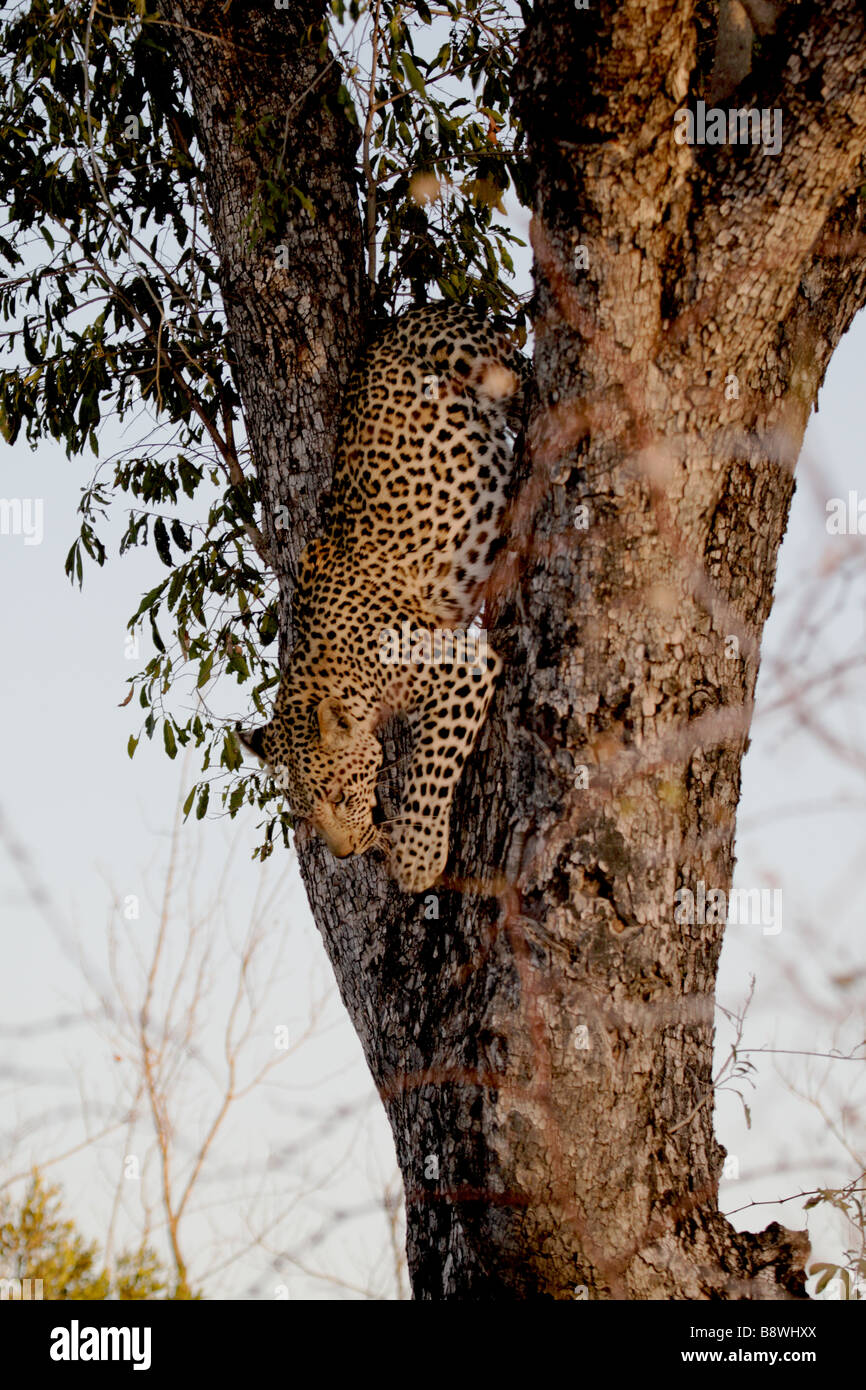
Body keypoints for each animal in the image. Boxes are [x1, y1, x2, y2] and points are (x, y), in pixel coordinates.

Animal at [238, 302, 527, 894]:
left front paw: (418, 856)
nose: (345, 855)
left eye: (339, 795)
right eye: (303, 813)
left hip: (475, 355)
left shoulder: (461, 665)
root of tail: (405, 315)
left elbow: (431, 761)